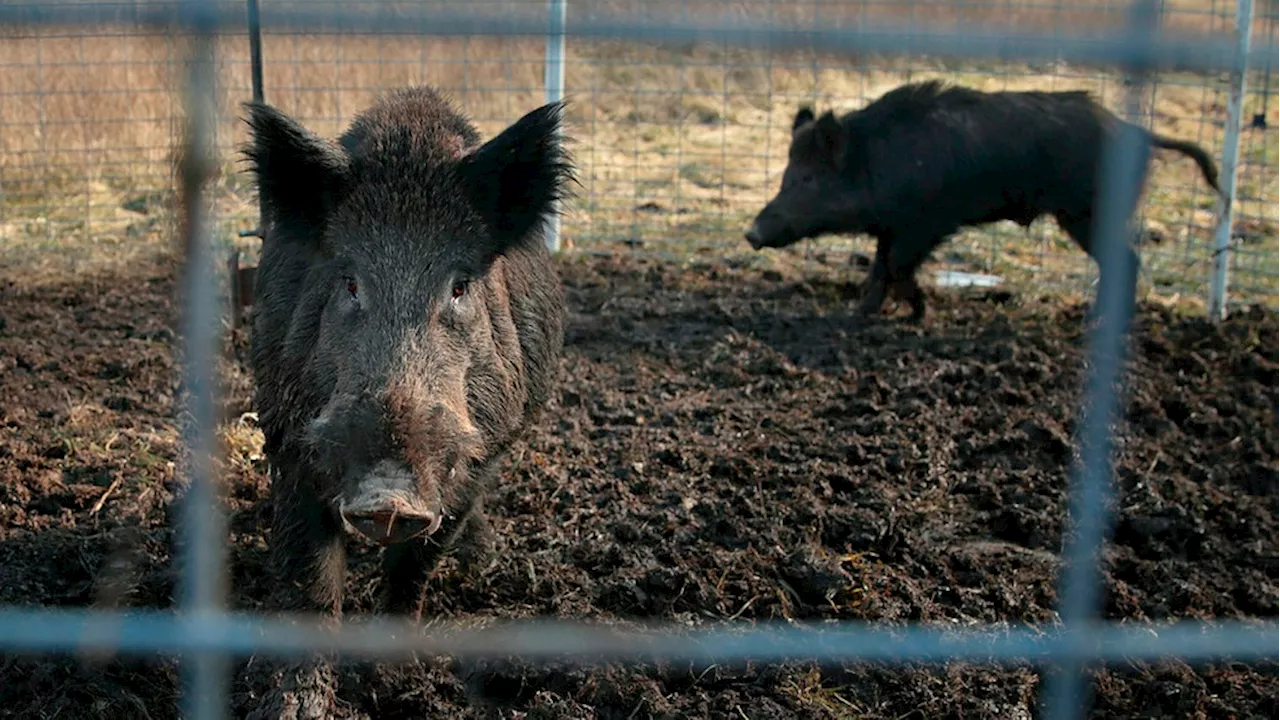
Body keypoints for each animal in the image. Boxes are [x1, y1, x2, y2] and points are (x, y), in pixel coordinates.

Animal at [241, 87, 573, 712]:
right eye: (349, 281)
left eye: (460, 286)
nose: (389, 498)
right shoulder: (288, 432)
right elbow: (309, 575)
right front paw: (295, 708)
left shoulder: (482, 453)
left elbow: (414, 567)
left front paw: (390, 682)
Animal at [747, 79, 1223, 322]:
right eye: (785, 176)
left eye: (808, 179)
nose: (751, 233)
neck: (877, 160)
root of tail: (1137, 132)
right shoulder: (894, 225)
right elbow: (880, 269)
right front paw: (858, 314)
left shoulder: (928, 221)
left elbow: (896, 267)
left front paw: (917, 314)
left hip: (1087, 212)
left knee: (1127, 259)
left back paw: (1098, 321)